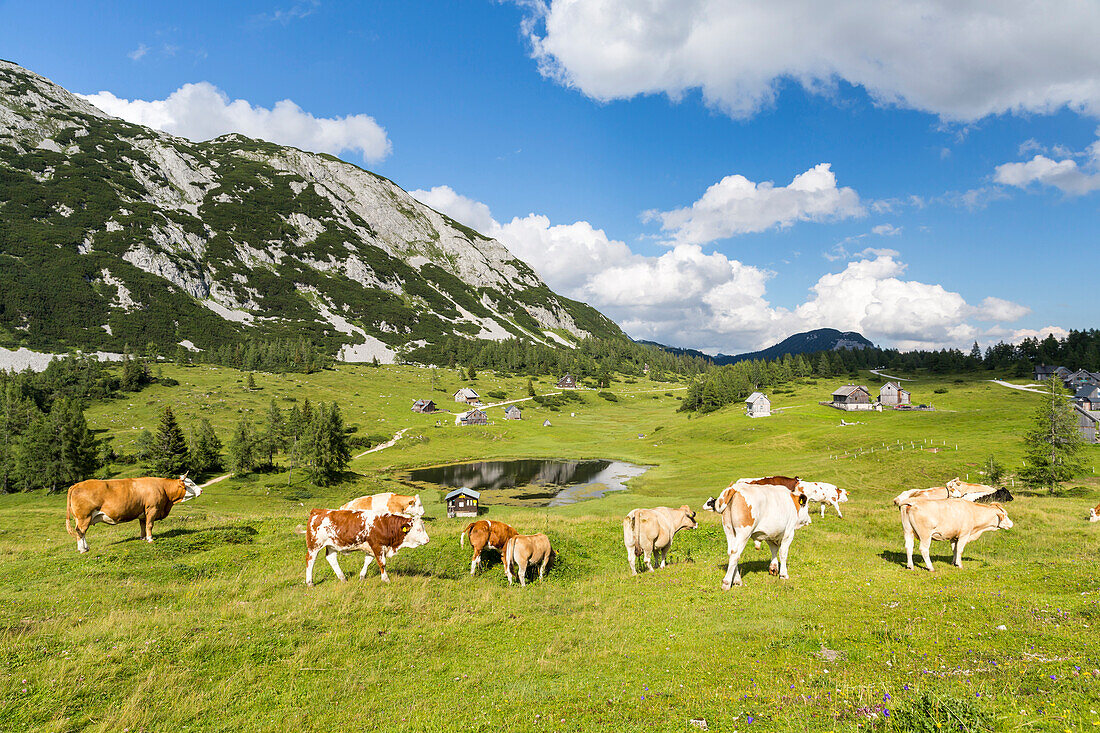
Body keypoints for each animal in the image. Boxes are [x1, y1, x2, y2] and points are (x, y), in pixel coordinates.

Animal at [64, 471, 202, 550]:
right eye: (190, 484)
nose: (201, 490)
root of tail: (76, 485)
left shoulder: (142, 513)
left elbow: (142, 525)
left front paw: (143, 538)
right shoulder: (152, 509)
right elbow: (149, 525)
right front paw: (150, 539)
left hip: (80, 518)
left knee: (80, 532)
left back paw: (85, 547)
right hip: (84, 517)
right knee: (80, 531)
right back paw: (83, 549)